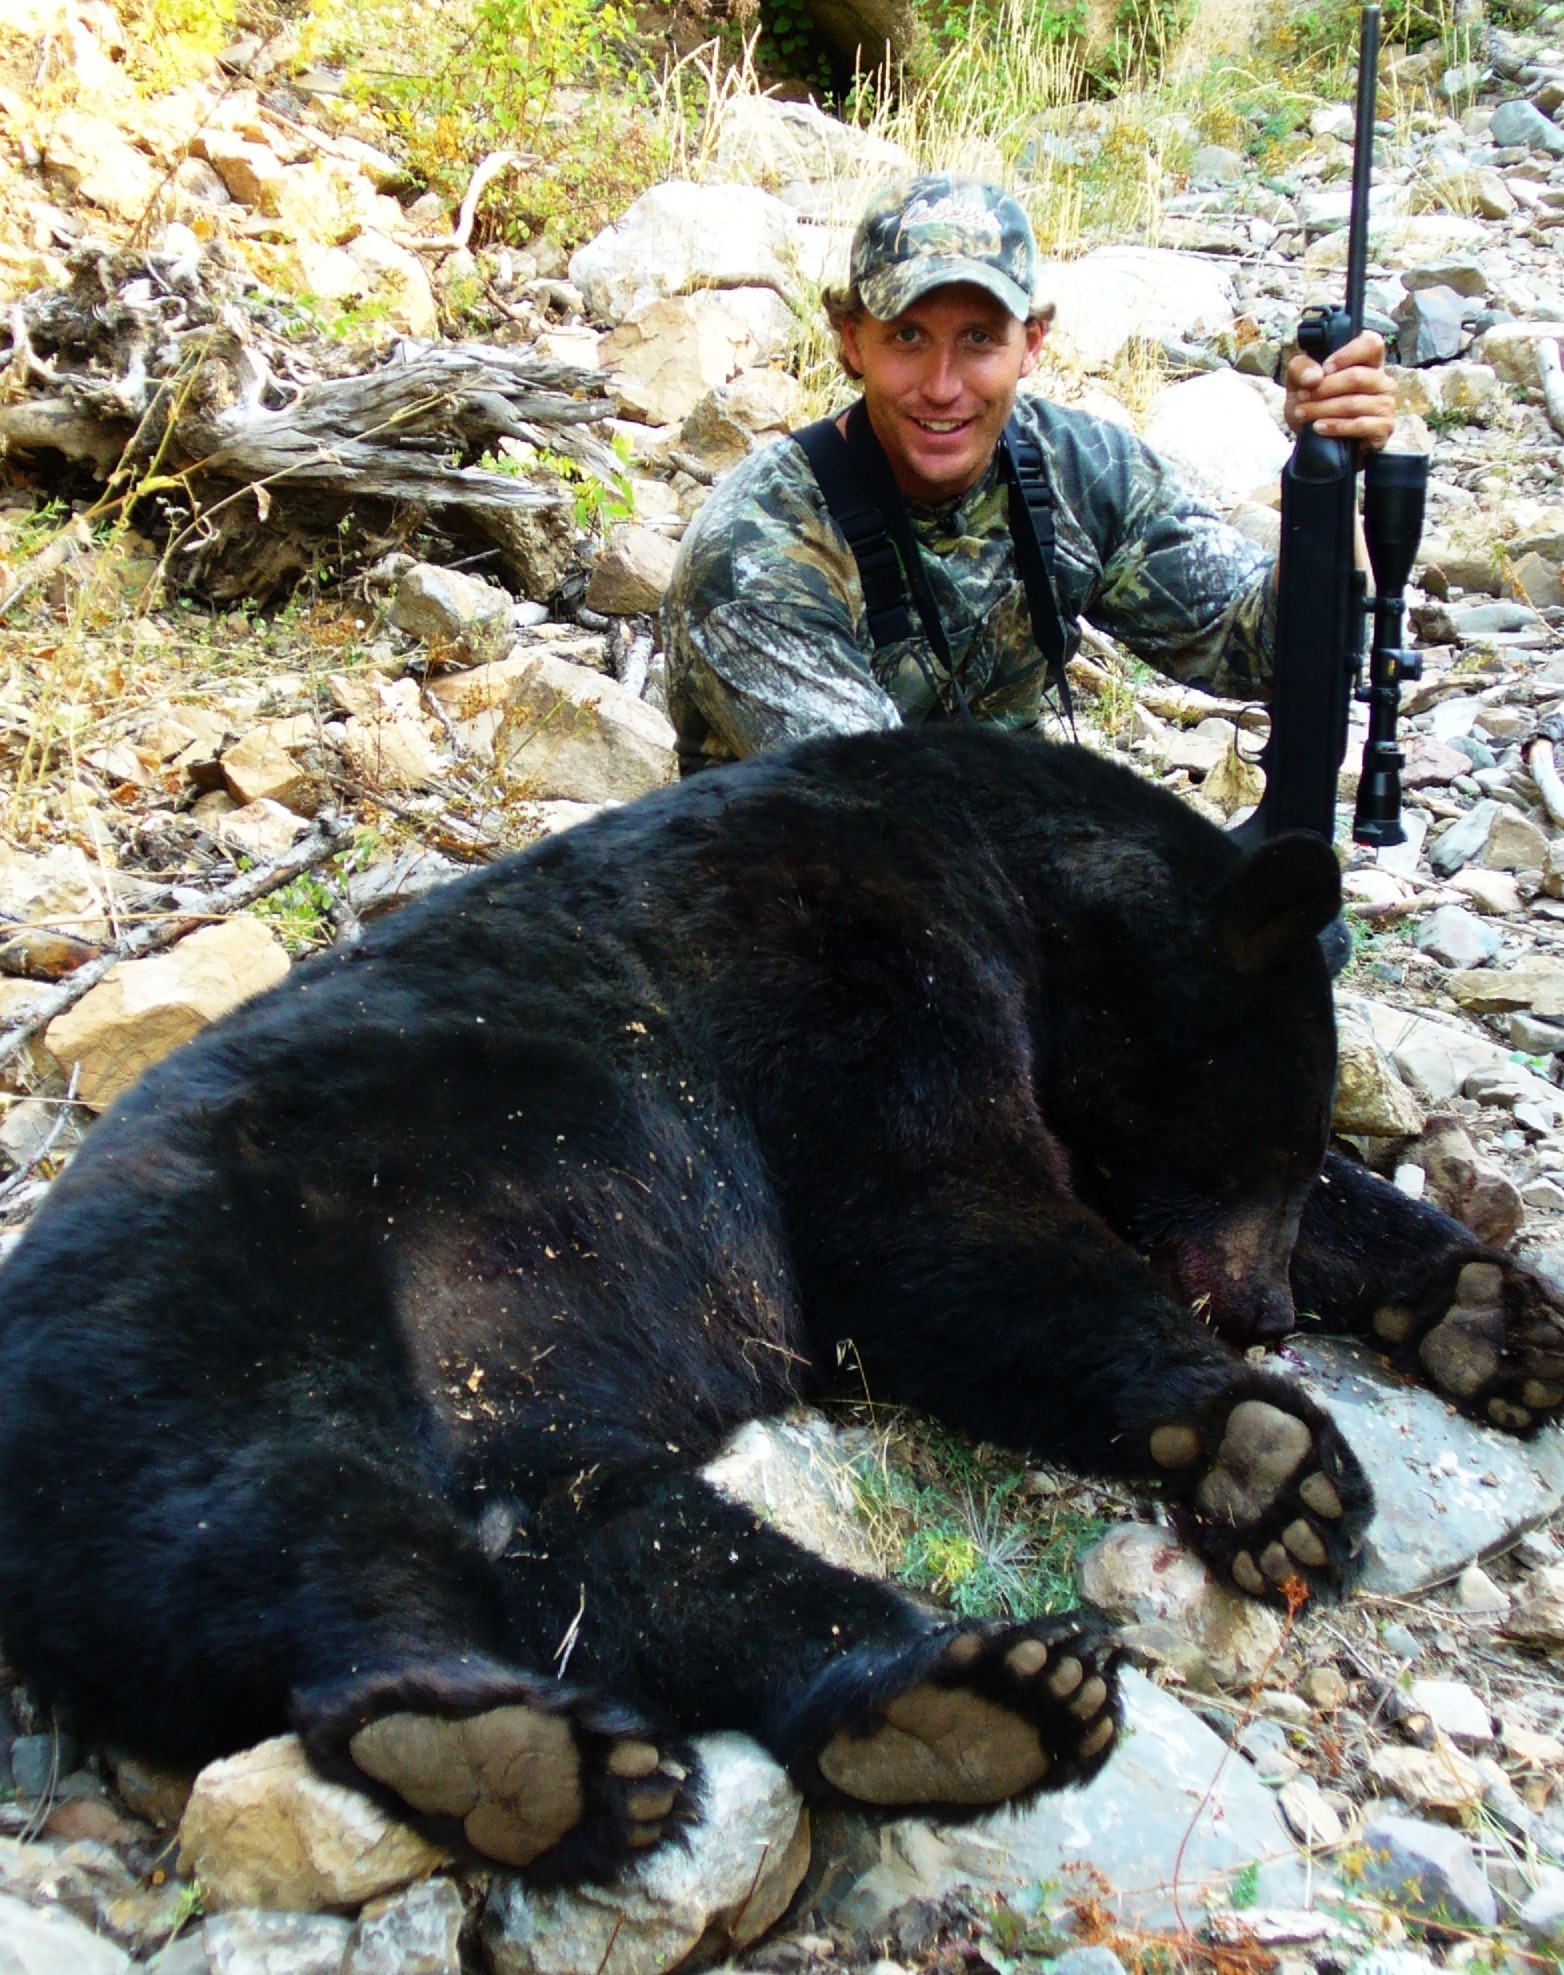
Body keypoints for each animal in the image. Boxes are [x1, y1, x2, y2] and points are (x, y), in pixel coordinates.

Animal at [0, 726, 1561, 1883]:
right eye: (1269, 1127)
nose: (1262, 1306)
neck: (1003, 870)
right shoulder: (833, 952)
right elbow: (929, 1220)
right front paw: (1268, 1444)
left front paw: (1492, 1311)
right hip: (218, 1290)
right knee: (300, 1505)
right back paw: (487, 1734)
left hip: (521, 1404)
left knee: (616, 1544)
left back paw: (945, 1703)